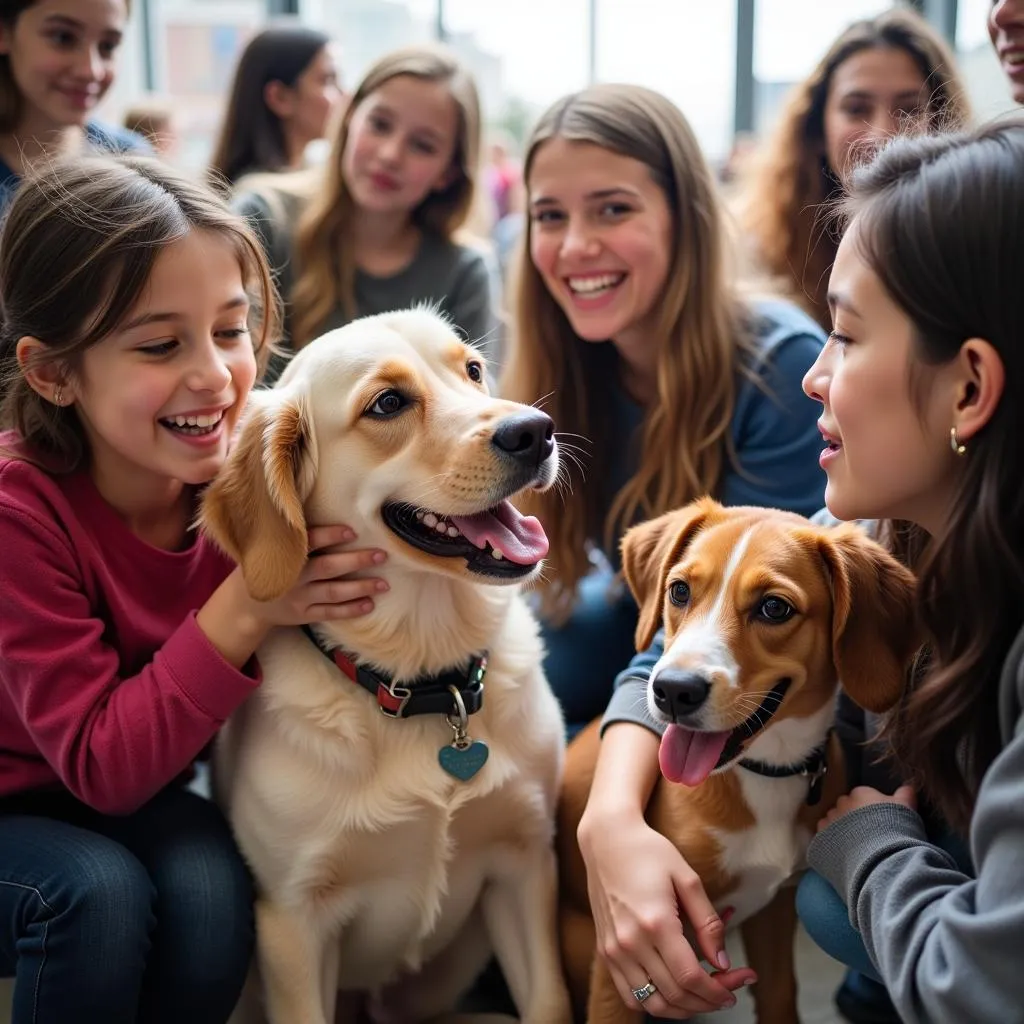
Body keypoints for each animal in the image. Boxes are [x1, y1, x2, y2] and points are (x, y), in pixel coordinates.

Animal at [202, 309, 573, 1024]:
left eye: (474, 370)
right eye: (388, 404)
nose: (535, 431)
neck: (429, 682)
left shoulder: (525, 864)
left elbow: (550, 1000)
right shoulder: (293, 920)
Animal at [557, 499, 917, 1024]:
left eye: (774, 607)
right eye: (679, 590)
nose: (672, 691)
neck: (766, 772)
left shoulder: (774, 913)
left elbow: (779, 994)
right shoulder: (624, 952)